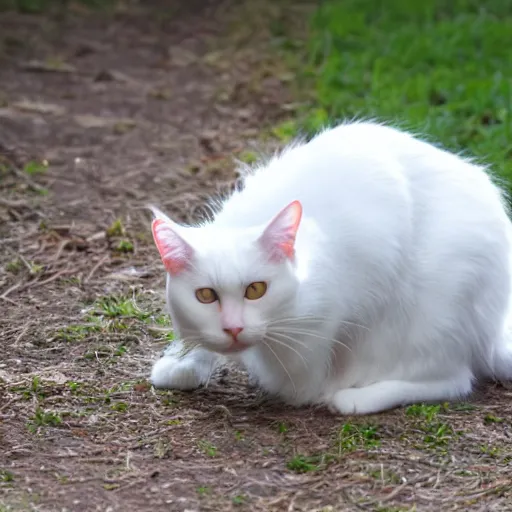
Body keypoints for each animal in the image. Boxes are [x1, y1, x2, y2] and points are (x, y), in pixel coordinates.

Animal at [148, 122, 512, 414]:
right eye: (205, 296)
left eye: (256, 290)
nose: (233, 328)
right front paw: (182, 364)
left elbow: (280, 368)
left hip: (433, 315)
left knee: (454, 379)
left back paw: (353, 399)